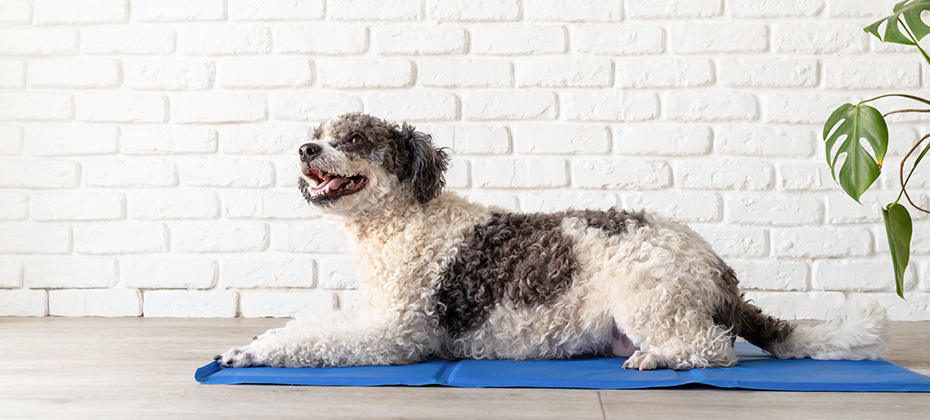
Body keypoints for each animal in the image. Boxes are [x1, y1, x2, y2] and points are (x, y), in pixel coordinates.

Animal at [216, 113, 884, 370]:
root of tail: (719, 269)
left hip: (649, 297)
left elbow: (318, 340)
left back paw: (658, 359)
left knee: (713, 350)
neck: (405, 221)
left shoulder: (395, 333)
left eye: (354, 137)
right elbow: (308, 325)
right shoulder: (375, 312)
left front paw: (252, 355)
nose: (305, 149)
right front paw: (250, 343)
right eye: (318, 131)